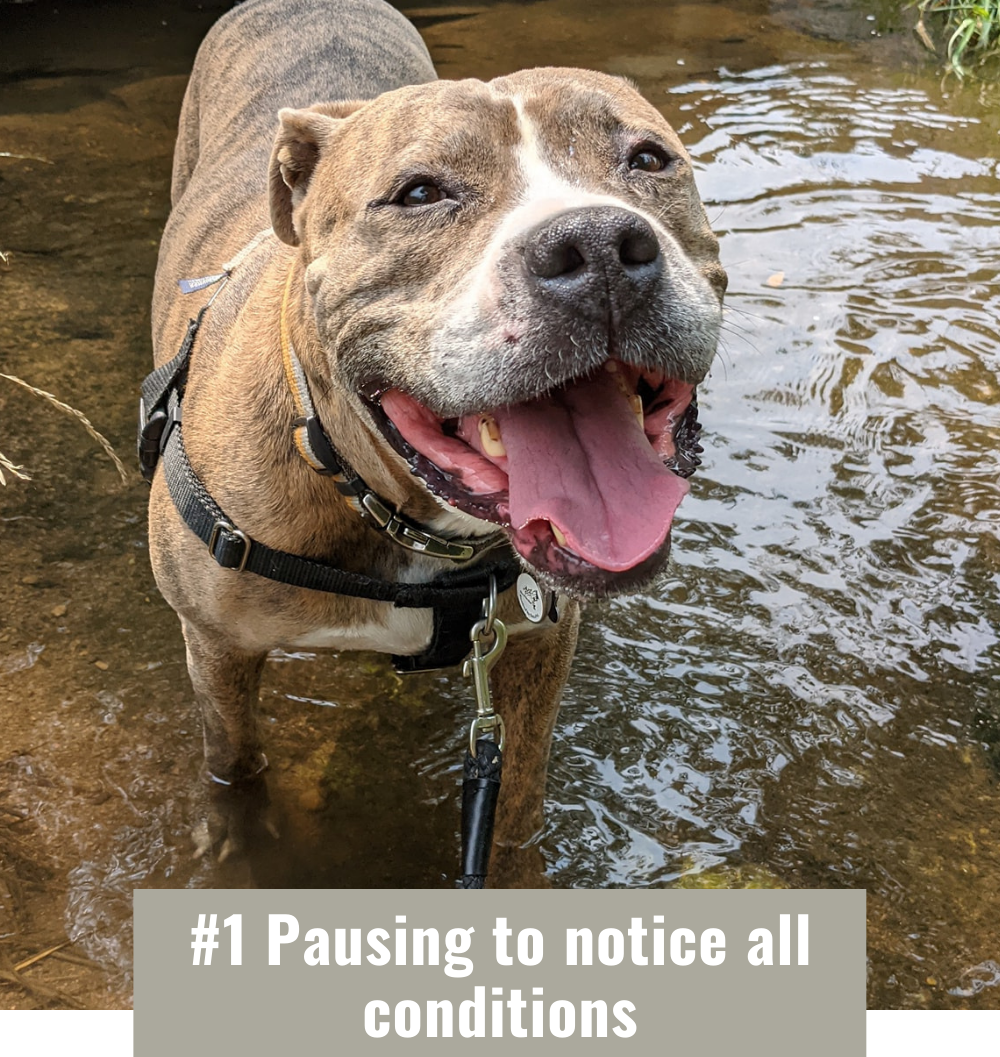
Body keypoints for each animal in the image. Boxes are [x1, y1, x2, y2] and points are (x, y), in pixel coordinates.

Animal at [143, 0, 723, 883]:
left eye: (650, 158)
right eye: (418, 193)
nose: (595, 246)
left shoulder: (537, 643)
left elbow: (516, 796)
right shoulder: (215, 647)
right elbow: (234, 765)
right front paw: (239, 844)